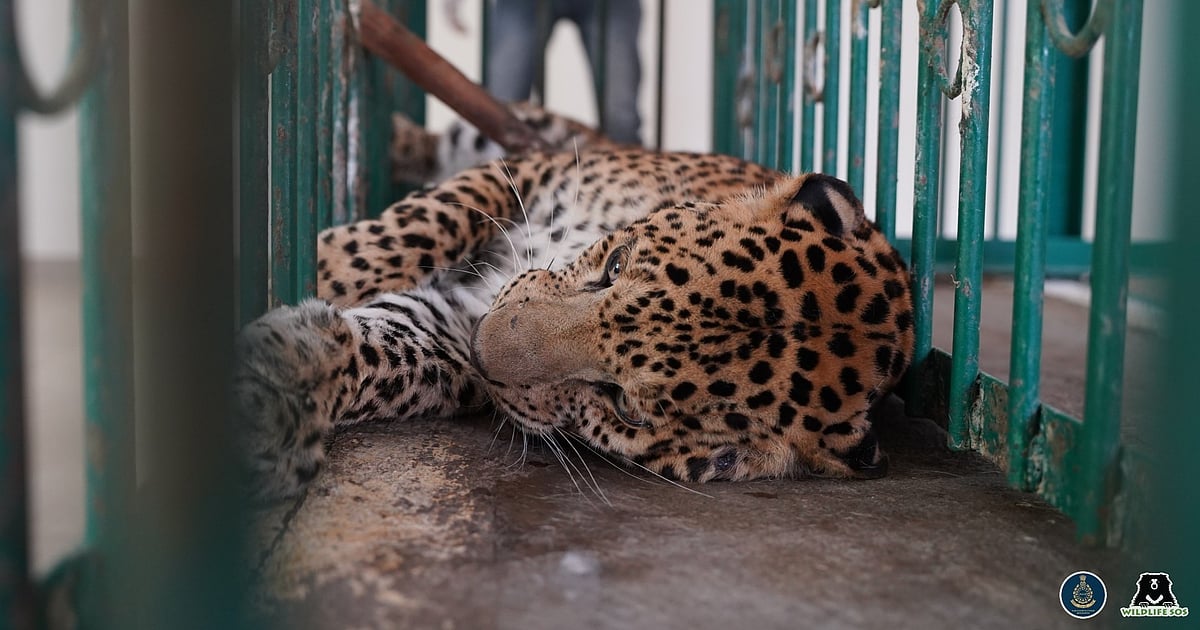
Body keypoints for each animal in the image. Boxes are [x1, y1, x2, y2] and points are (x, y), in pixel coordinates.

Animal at [235, 124, 914, 501]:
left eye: (624, 406)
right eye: (615, 264)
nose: (483, 346)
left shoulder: (453, 326)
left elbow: (392, 353)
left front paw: (281, 393)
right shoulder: (533, 169)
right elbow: (417, 226)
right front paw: (320, 261)